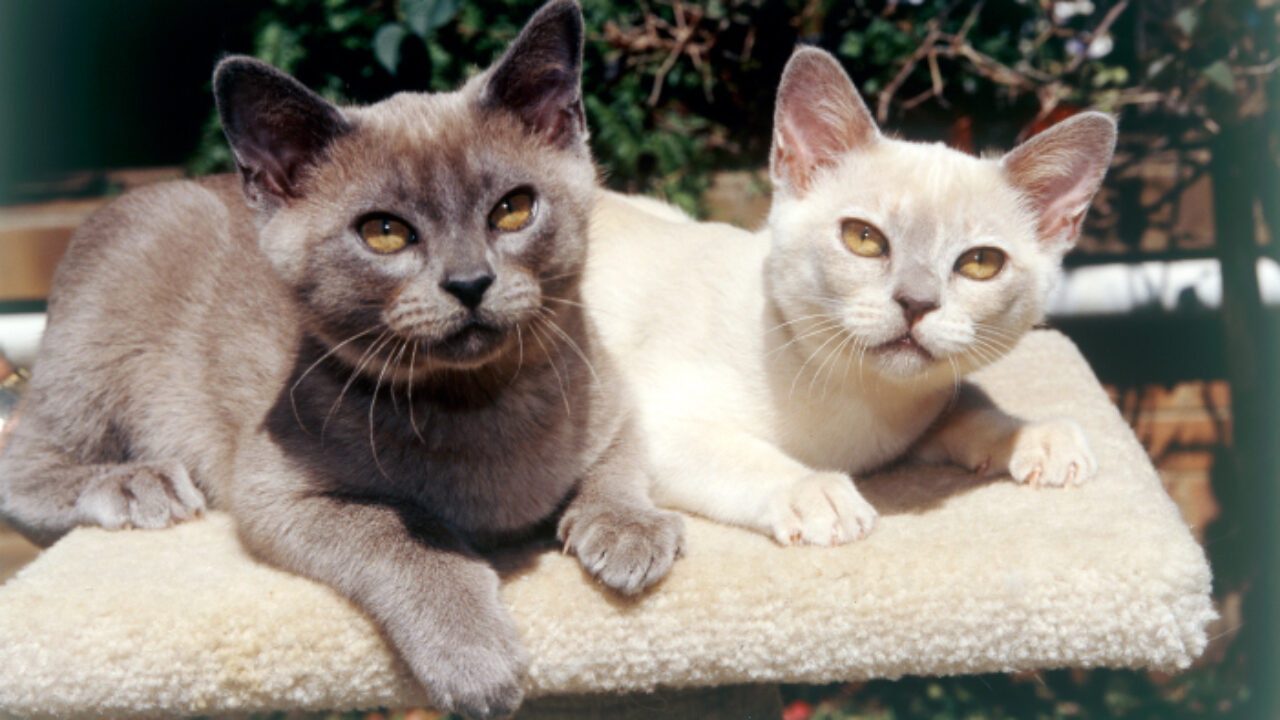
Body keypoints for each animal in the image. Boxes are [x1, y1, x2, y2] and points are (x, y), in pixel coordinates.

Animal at [0, 2, 686, 712]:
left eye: (514, 208)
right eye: (384, 233)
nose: (470, 282)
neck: (477, 403)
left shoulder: (611, 396)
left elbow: (620, 461)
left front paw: (629, 531)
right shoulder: (274, 491)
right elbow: (402, 532)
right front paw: (473, 656)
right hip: (91, 361)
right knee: (22, 463)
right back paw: (140, 484)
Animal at [586, 47, 1116, 543]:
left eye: (981, 263)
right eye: (863, 238)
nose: (916, 303)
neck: (864, 404)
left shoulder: (916, 420)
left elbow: (972, 407)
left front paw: (1041, 437)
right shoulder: (652, 419)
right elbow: (747, 457)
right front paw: (819, 494)